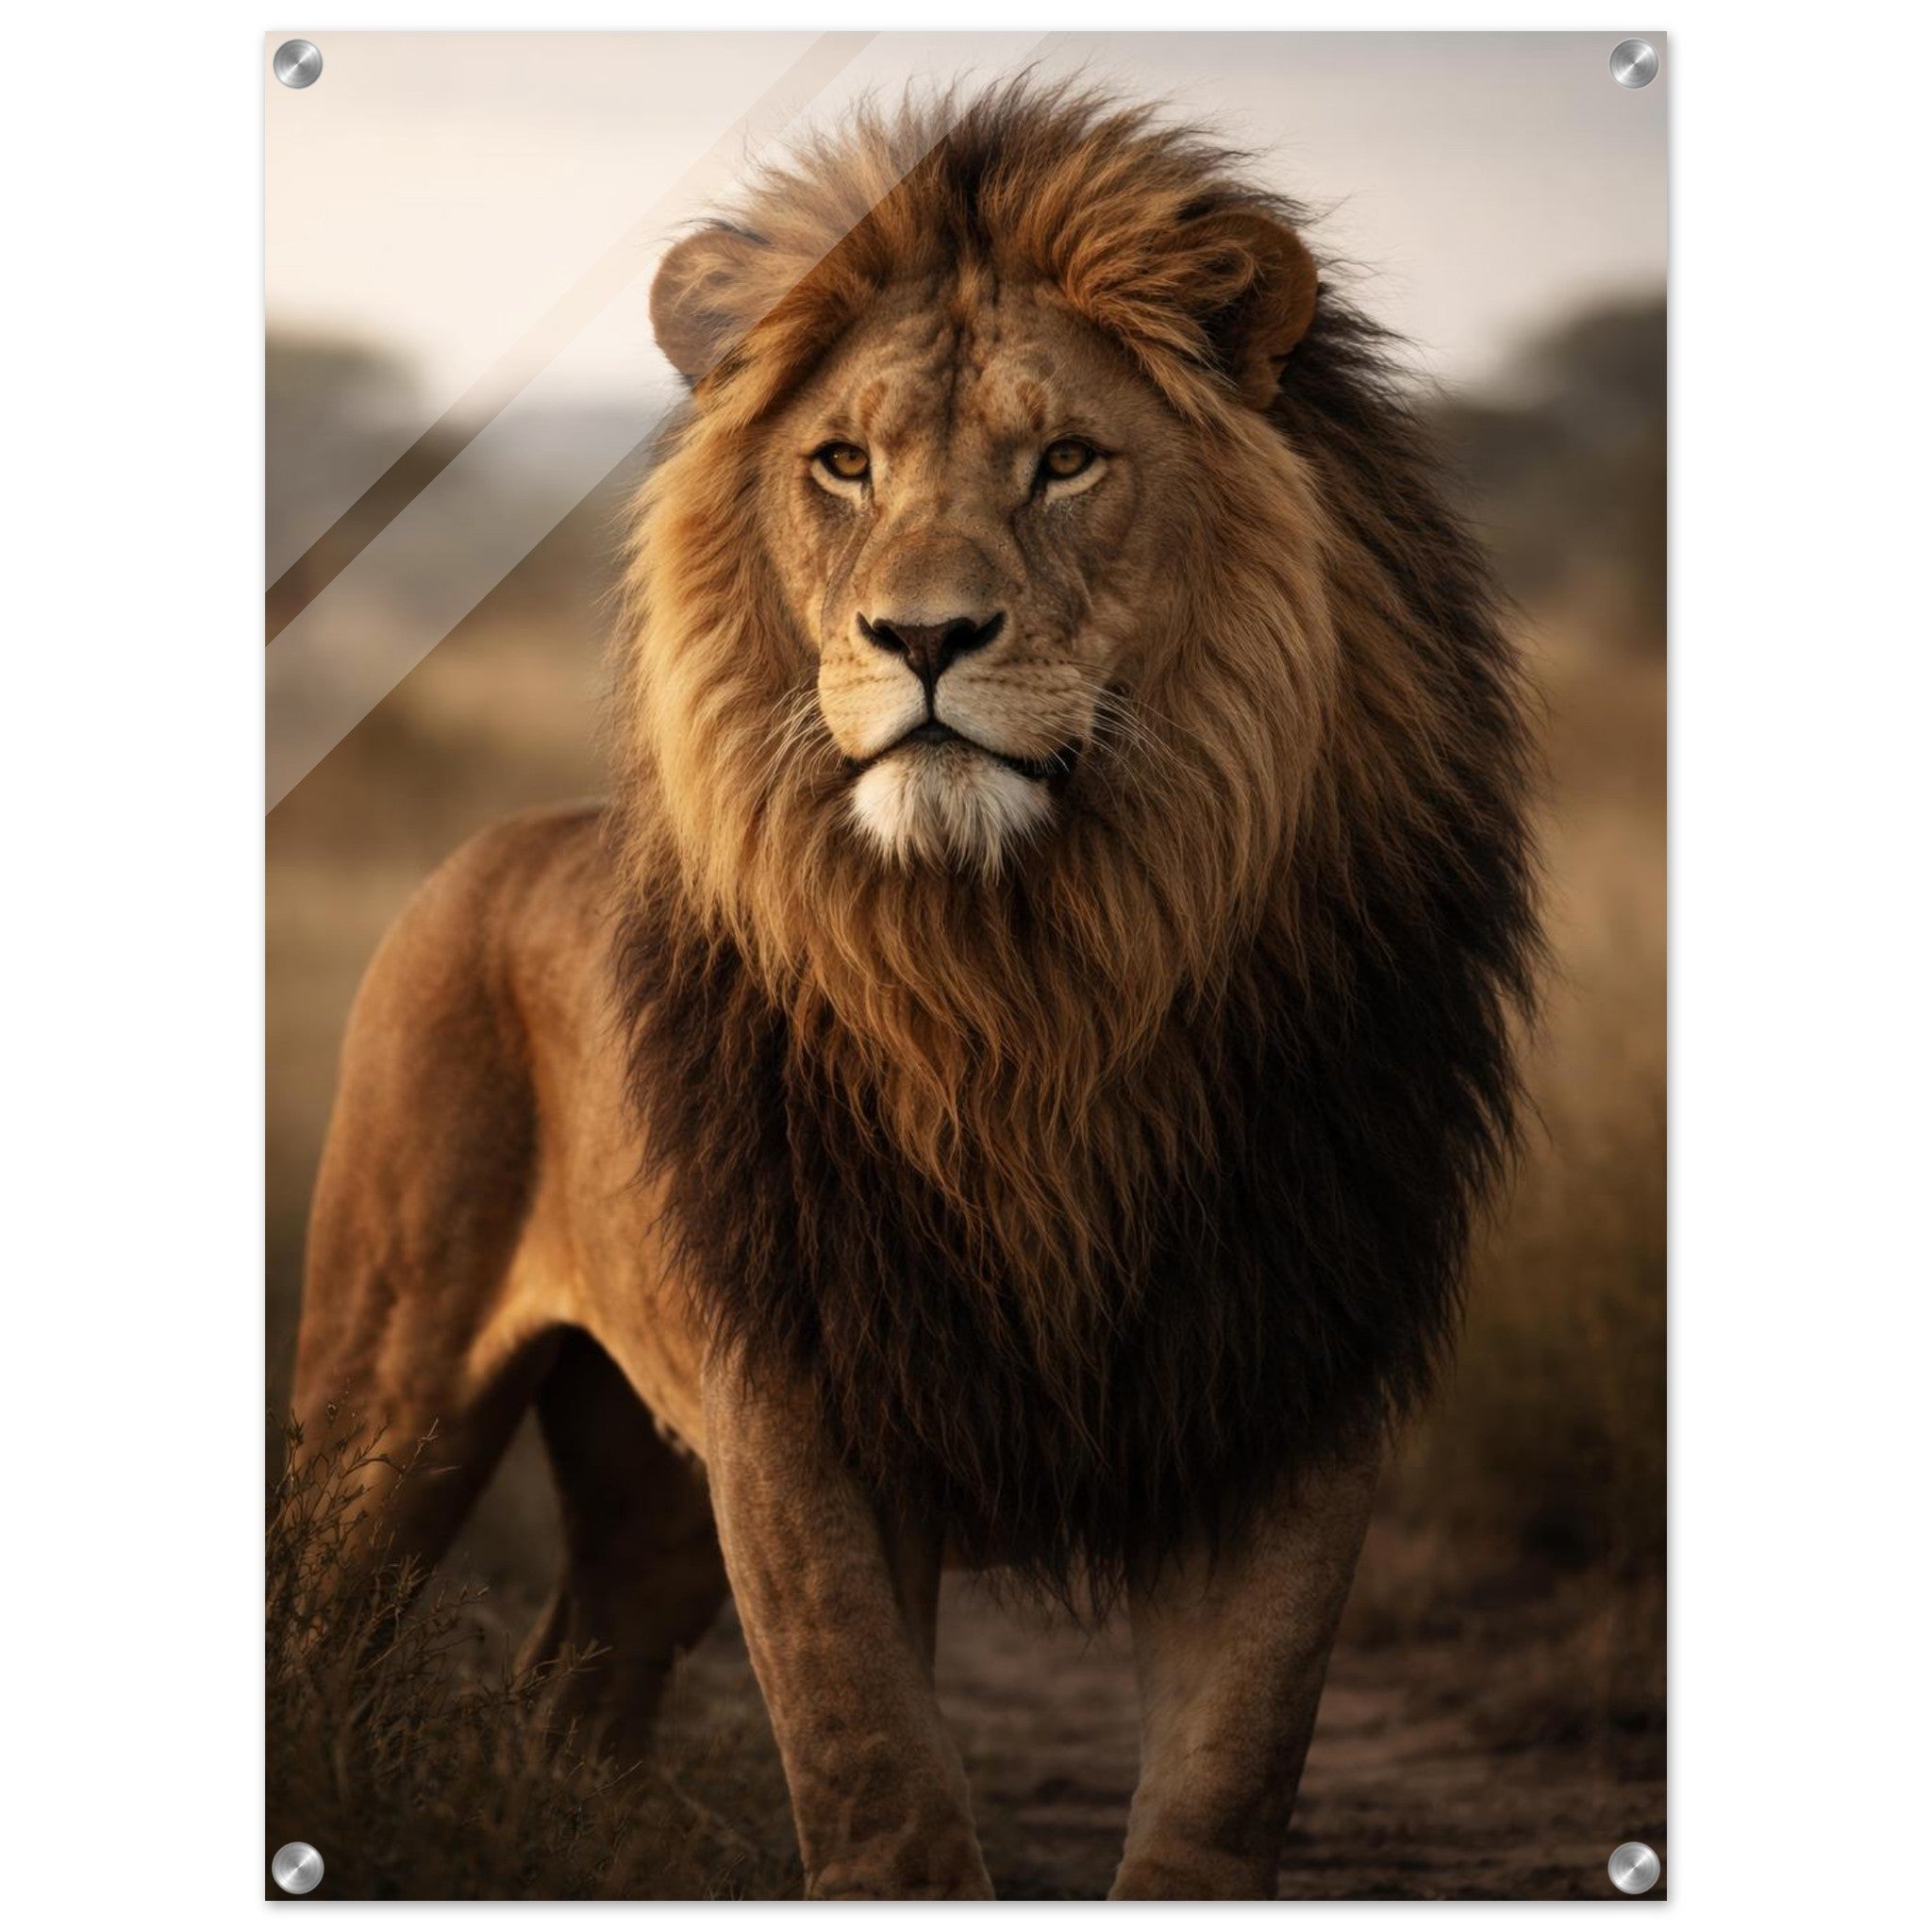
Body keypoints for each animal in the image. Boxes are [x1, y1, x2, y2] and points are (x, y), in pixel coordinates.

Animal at [292, 82, 1540, 1900]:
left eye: (1066, 460)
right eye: (845, 463)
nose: (925, 636)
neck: (1025, 983)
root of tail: (495, 845)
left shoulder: (1291, 1384)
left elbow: (1222, 1790)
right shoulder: (798, 1400)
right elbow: (878, 1780)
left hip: (643, 1478)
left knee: (570, 1691)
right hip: (388, 1394)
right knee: (317, 1634)